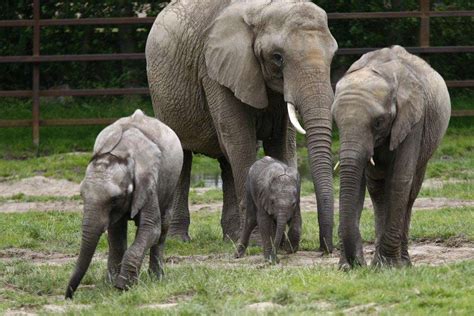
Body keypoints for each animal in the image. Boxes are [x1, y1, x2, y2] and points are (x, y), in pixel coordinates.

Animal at [66, 110, 183, 298]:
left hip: (172, 180)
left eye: (115, 198)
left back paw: (156, 278)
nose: (68, 297)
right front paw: (112, 283)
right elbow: (116, 234)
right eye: (81, 195)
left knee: (163, 226)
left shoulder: (148, 181)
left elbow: (151, 228)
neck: (120, 153)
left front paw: (122, 286)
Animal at [144, 0, 336, 252]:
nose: (325, 249)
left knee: (226, 162)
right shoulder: (215, 71)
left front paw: (280, 242)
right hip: (162, 95)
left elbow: (282, 145)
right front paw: (258, 243)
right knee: (183, 156)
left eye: (332, 56)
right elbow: (240, 142)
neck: (263, 9)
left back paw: (231, 237)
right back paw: (179, 239)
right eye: (277, 57)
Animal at [332, 45, 450, 268]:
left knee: (410, 193)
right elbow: (358, 185)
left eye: (378, 122)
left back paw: (401, 263)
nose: (356, 264)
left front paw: (389, 266)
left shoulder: (414, 120)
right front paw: (348, 267)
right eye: (336, 121)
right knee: (377, 189)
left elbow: (399, 180)